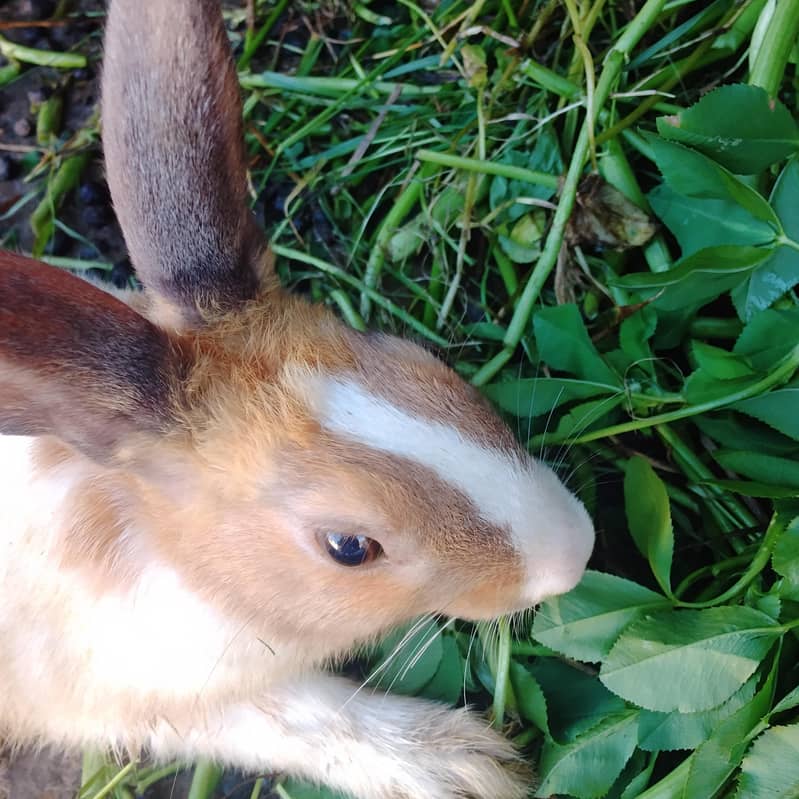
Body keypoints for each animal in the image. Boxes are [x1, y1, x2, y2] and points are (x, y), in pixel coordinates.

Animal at [0, 0, 595, 797]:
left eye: (418, 359)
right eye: (348, 547)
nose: (571, 550)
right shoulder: (124, 696)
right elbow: (297, 716)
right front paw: (465, 768)